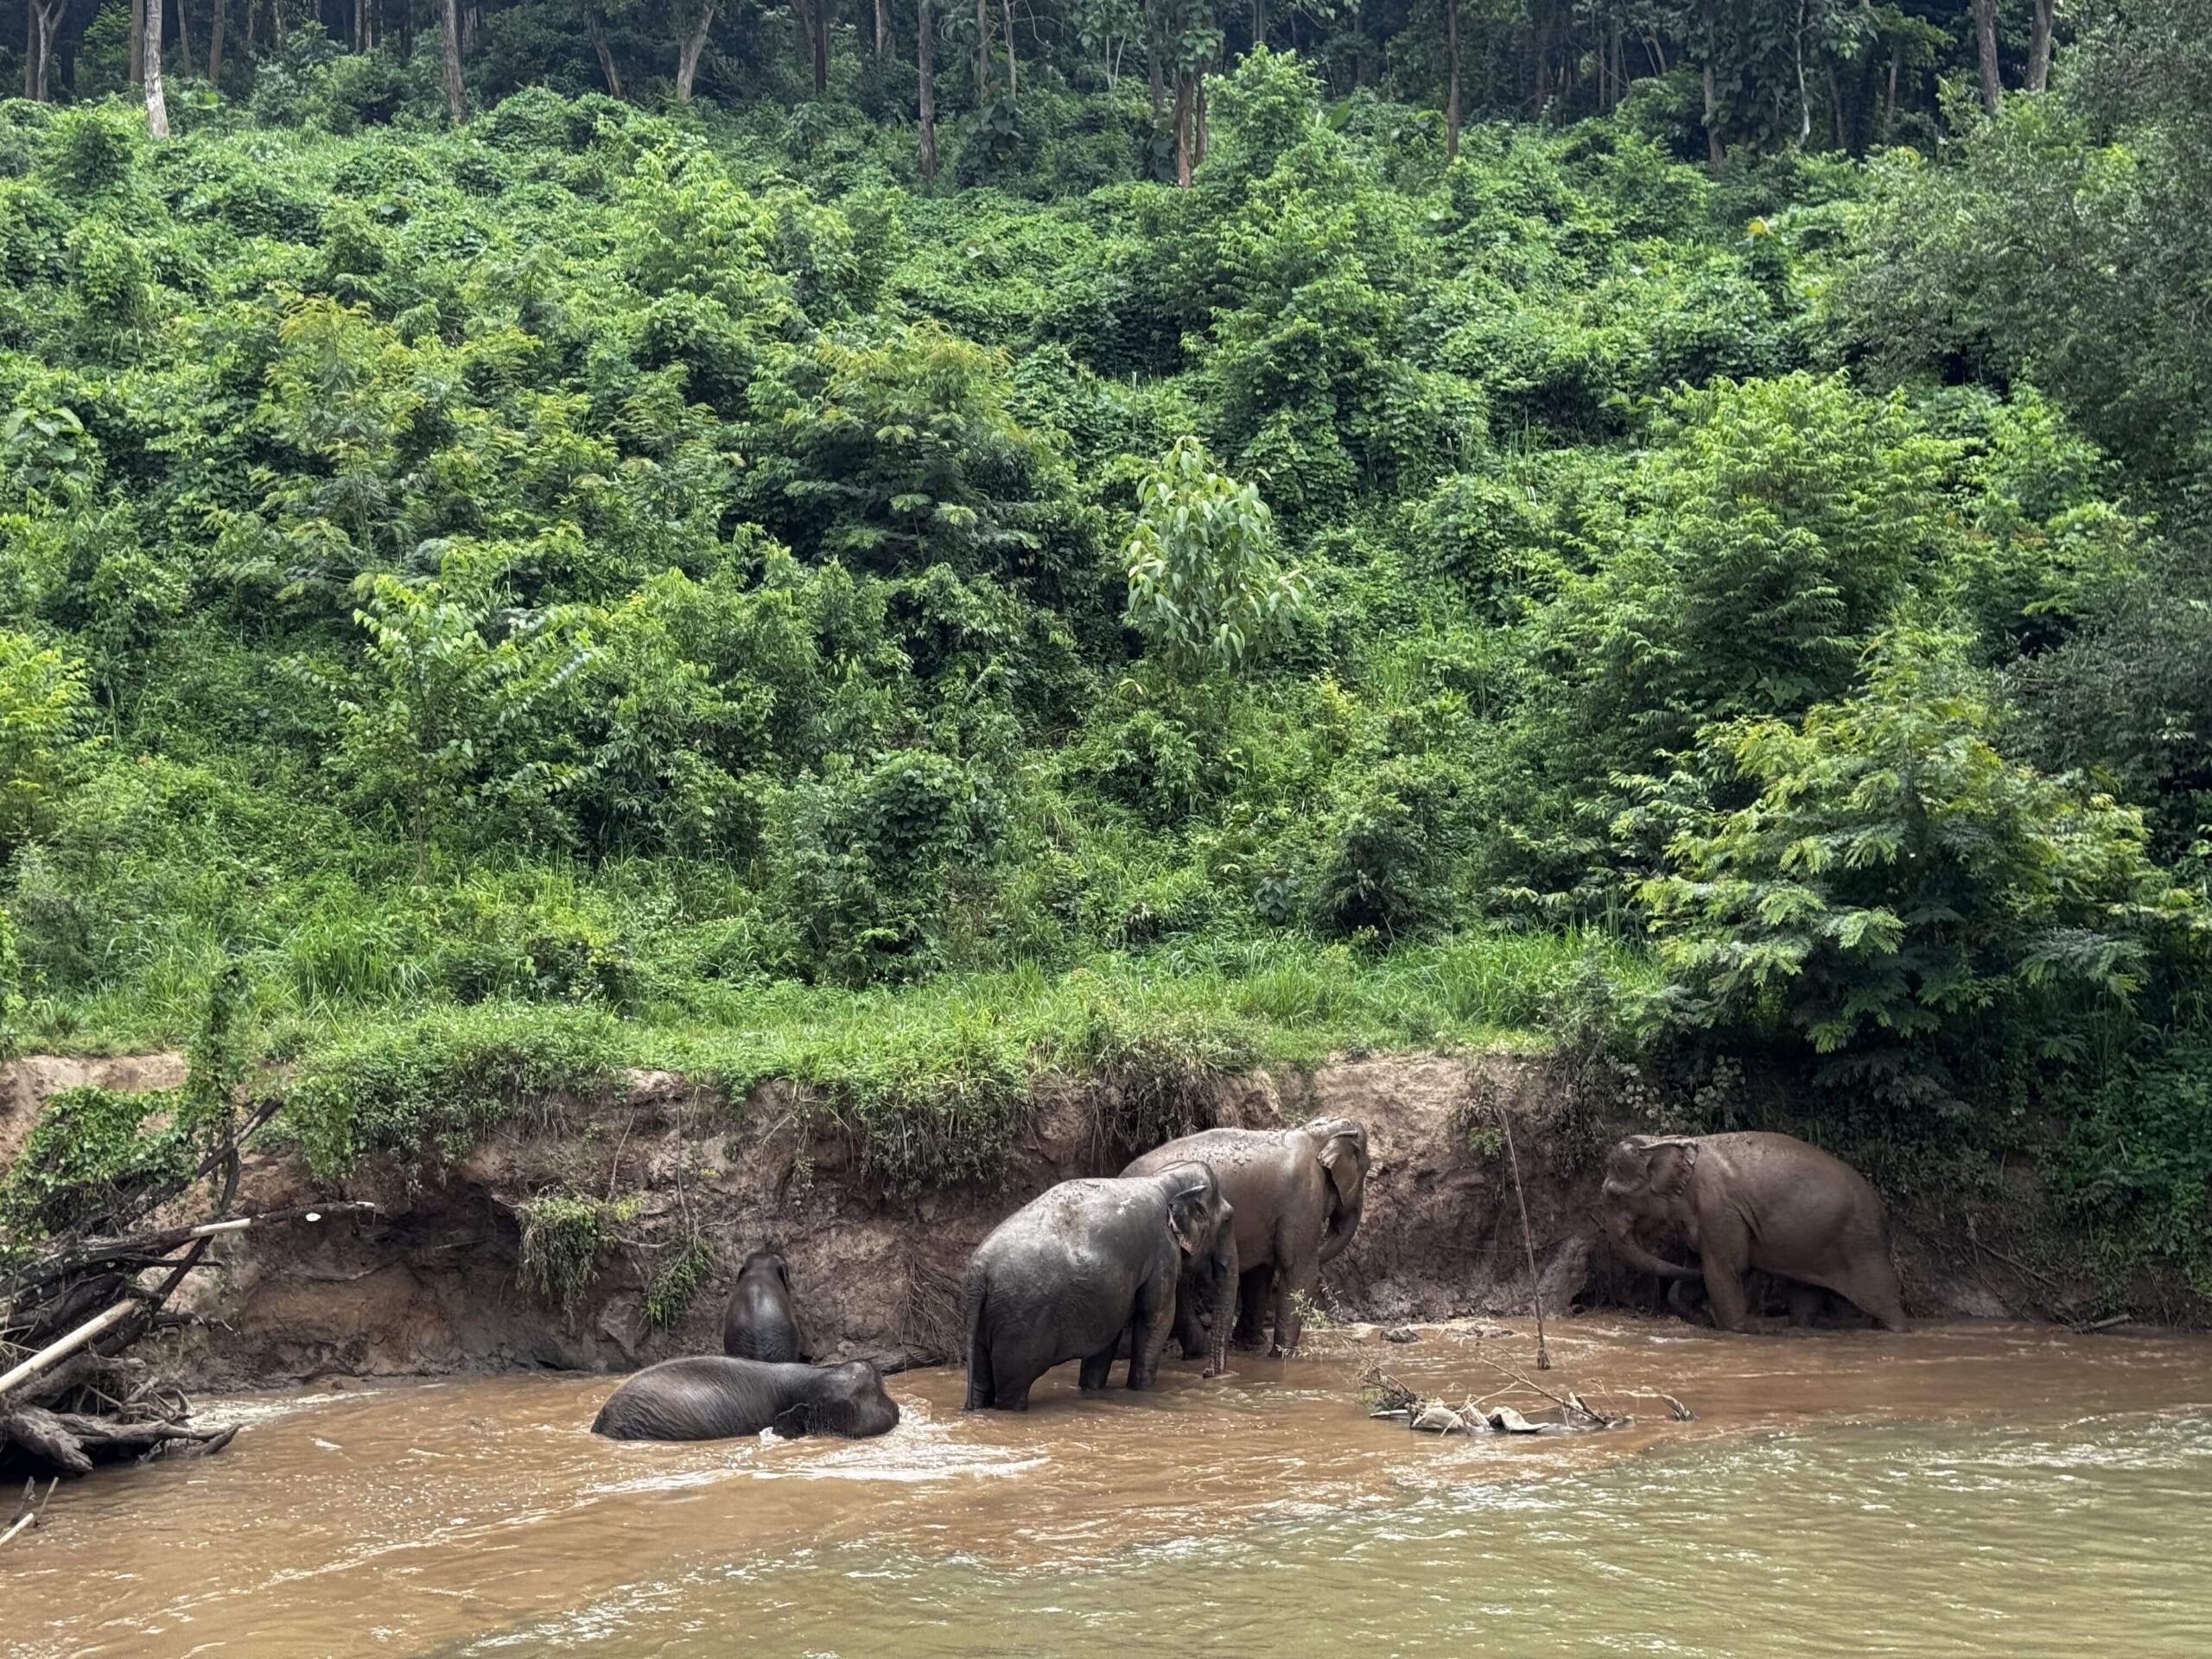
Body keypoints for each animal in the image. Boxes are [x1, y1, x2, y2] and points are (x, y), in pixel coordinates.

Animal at [961, 1162, 1236, 1411]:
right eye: (1227, 1220)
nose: (1208, 1373)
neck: (1166, 1178)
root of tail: (978, 1274)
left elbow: (1109, 1337)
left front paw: (1092, 1391)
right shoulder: (1162, 1251)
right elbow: (1156, 1319)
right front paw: (1142, 1391)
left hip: (988, 1320)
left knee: (981, 1381)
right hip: (1020, 1325)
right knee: (1013, 1384)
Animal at [1121, 1116, 1369, 1359]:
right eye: (1366, 1168)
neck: (1313, 1132)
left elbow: (1260, 1271)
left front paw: (1250, 1344)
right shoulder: (1304, 1195)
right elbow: (1298, 1267)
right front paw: (1284, 1356)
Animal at [1598, 1131, 1908, 1333]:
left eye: (1614, 1195)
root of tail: (1882, 1213)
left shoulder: (1719, 1210)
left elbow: (1723, 1270)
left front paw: (1737, 1327)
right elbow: (1698, 1270)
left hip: (1861, 1246)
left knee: (1885, 1303)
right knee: (1805, 1298)